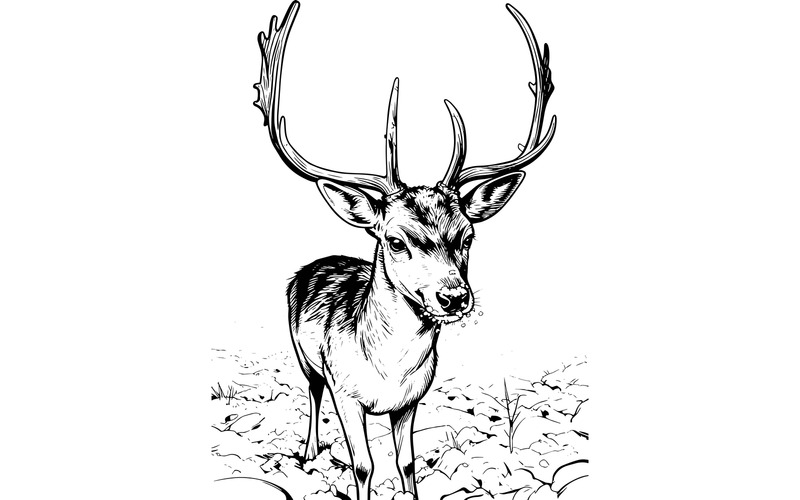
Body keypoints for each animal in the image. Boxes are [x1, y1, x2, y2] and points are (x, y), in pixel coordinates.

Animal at [253, 2, 556, 499]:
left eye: (467, 237)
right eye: (395, 241)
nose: (454, 297)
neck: (389, 374)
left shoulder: (411, 401)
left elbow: (407, 462)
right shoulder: (346, 392)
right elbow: (362, 466)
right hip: (305, 356)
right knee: (312, 391)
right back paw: (310, 451)